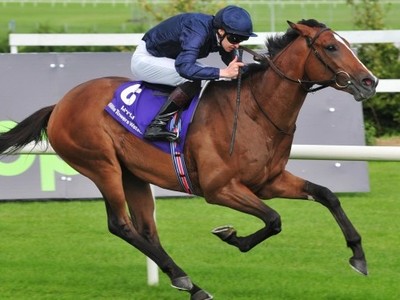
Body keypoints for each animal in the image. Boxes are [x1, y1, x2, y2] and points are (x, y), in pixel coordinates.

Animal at [0, 19, 378, 298]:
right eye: (331, 47)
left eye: (346, 42)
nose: (369, 81)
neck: (256, 111)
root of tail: (60, 105)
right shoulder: (219, 188)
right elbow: (273, 219)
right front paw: (231, 235)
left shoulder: (269, 181)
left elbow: (326, 195)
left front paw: (358, 256)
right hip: (101, 165)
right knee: (121, 225)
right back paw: (186, 281)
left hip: (132, 173)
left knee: (147, 230)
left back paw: (186, 281)